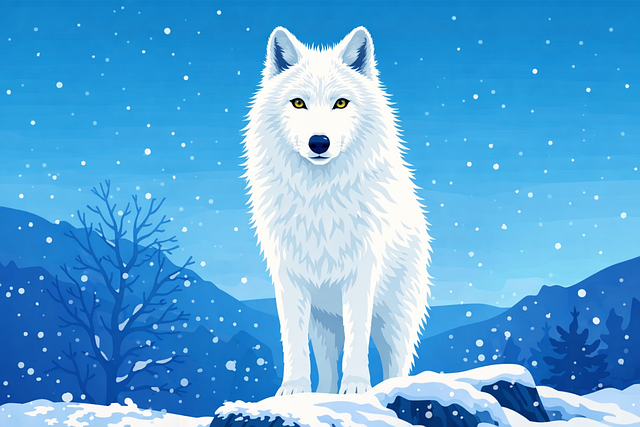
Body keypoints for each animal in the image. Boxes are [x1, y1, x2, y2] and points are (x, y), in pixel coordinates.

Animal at [241, 26, 433, 395]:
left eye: (340, 103)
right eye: (298, 102)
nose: (319, 142)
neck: (319, 196)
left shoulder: (361, 273)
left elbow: (358, 341)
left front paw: (357, 389)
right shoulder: (288, 277)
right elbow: (293, 340)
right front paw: (294, 391)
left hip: (395, 318)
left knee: (396, 363)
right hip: (324, 322)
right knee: (327, 364)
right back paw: (322, 393)